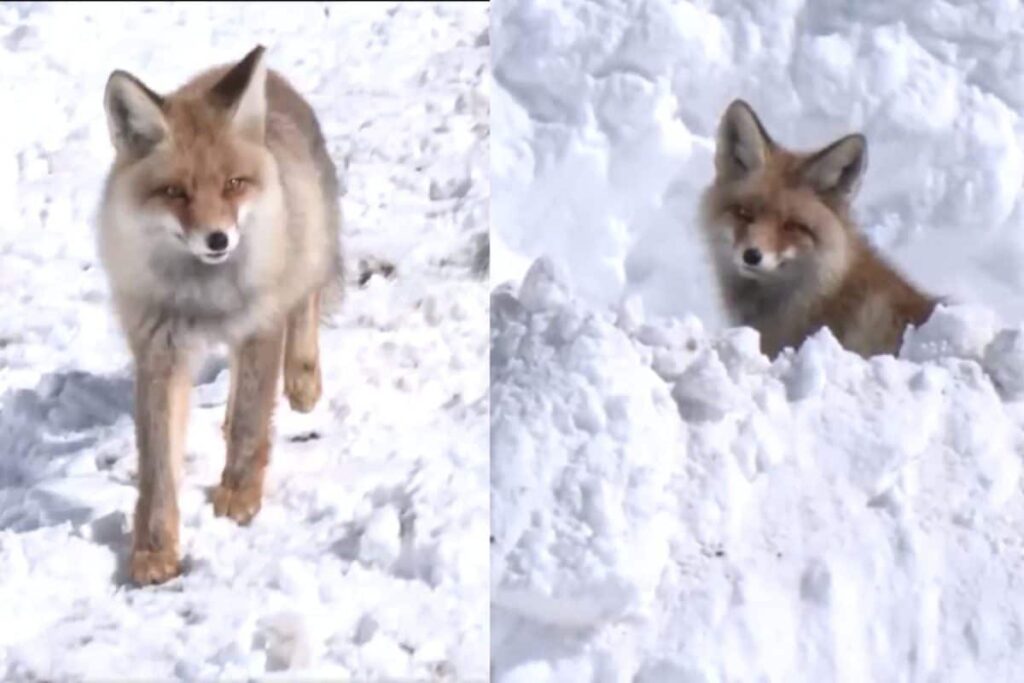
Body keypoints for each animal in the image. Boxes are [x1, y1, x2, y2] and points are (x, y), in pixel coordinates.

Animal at [99, 46, 342, 585]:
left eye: (233, 184)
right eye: (175, 192)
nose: (218, 240)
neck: (203, 299)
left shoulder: (260, 326)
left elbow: (252, 422)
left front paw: (239, 495)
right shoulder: (159, 351)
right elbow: (158, 467)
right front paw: (154, 549)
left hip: (306, 249)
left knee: (307, 300)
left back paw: (303, 379)